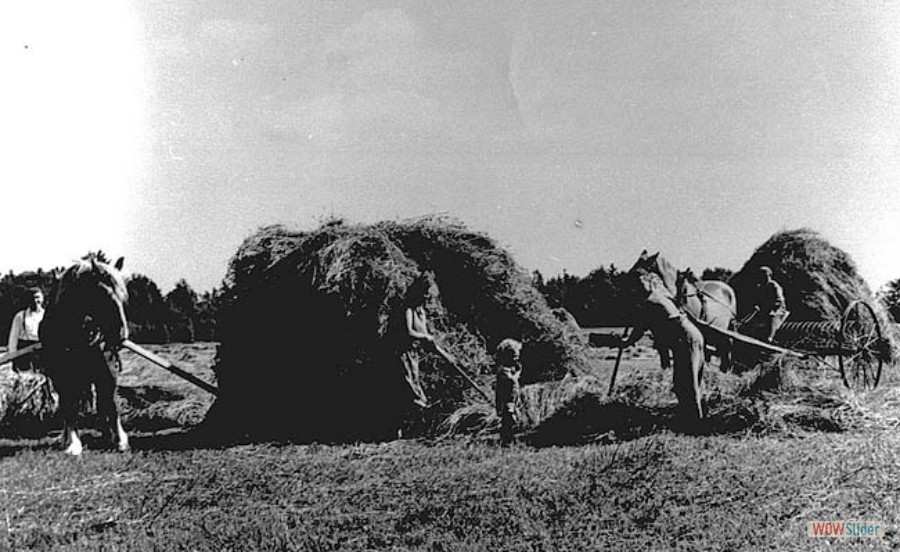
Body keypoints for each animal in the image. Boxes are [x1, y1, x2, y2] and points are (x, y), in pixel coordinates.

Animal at [40, 254, 130, 458]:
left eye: (124, 296)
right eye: (105, 295)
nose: (122, 336)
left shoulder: (108, 370)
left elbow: (110, 403)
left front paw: (119, 440)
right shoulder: (62, 375)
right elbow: (69, 406)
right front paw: (73, 443)